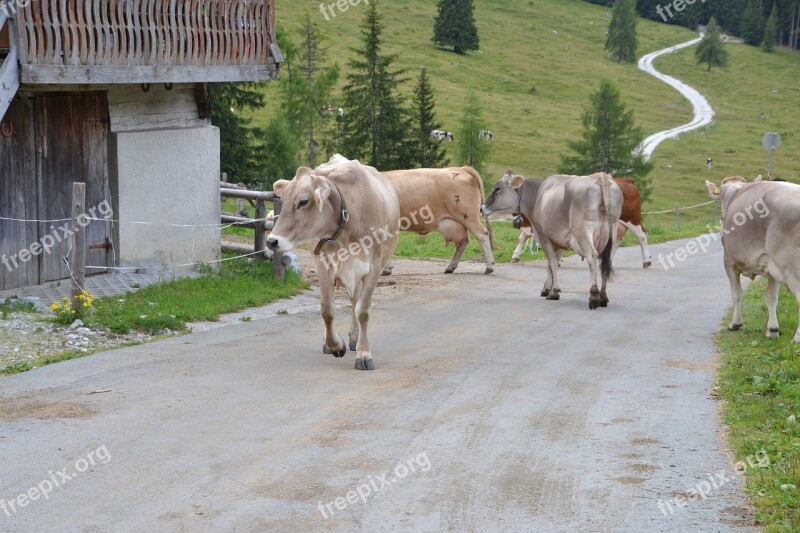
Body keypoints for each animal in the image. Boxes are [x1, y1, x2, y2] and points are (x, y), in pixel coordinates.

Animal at [266, 156, 400, 368]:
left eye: (303, 201)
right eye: (284, 200)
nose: (272, 241)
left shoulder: (374, 266)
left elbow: (363, 310)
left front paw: (363, 353)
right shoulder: (324, 264)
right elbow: (327, 309)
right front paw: (336, 345)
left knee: (355, 301)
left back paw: (354, 338)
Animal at [482, 172, 624, 310]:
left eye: (497, 189)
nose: (481, 208)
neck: (538, 194)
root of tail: (600, 176)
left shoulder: (544, 236)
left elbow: (552, 264)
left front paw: (554, 292)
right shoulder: (559, 241)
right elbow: (551, 264)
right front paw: (547, 288)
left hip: (583, 232)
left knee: (592, 257)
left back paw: (594, 296)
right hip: (612, 231)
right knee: (606, 261)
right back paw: (603, 297)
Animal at [510, 172, 652, 268]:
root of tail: (626, 179)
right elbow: (522, 237)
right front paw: (515, 255)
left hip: (632, 218)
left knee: (641, 235)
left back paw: (647, 260)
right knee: (616, 239)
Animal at [708, 175, 800, 340]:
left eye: (721, 199)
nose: (721, 218)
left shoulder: (729, 262)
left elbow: (736, 294)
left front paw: (735, 324)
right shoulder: (771, 266)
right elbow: (771, 298)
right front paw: (772, 329)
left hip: (790, 264)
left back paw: (797, 338)